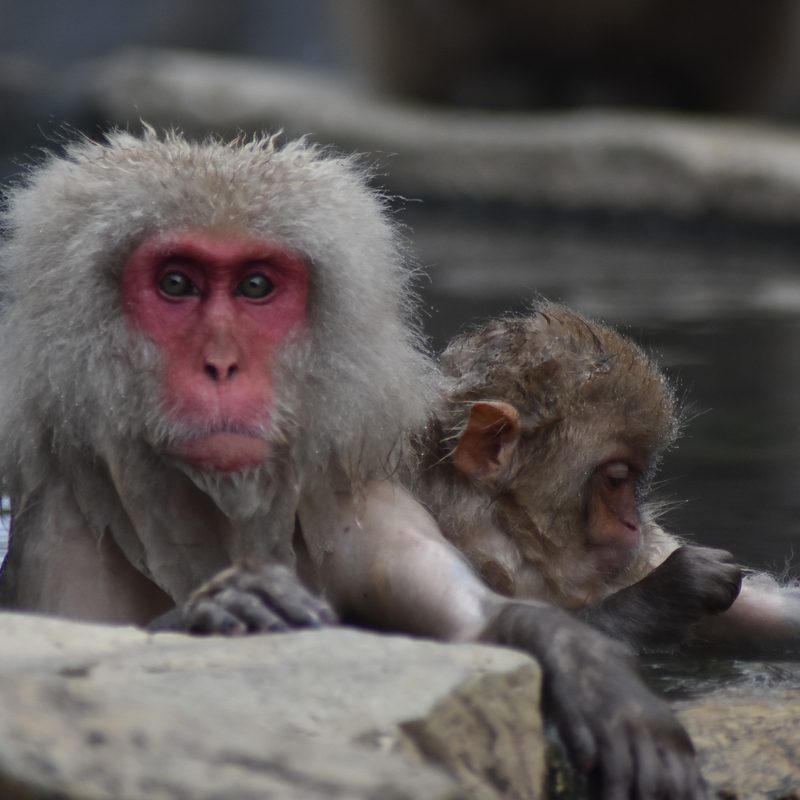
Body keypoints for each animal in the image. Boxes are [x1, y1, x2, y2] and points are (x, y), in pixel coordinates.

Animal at [0, 129, 704, 798]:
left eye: (256, 287)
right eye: (177, 284)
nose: (222, 364)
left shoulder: (363, 502)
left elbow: (476, 623)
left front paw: (590, 669)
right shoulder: (60, 525)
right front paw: (223, 608)